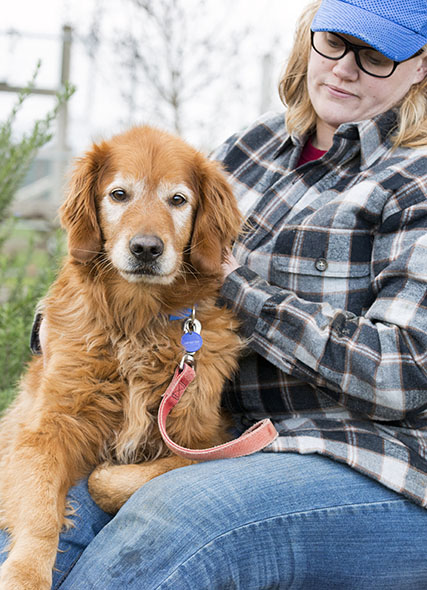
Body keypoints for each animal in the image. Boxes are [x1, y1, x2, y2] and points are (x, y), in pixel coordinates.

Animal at [0, 127, 242, 588]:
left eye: (177, 200)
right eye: (118, 194)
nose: (146, 248)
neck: (134, 325)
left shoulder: (210, 440)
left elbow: (120, 479)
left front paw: (105, 472)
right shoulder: (41, 428)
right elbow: (39, 512)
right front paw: (24, 574)